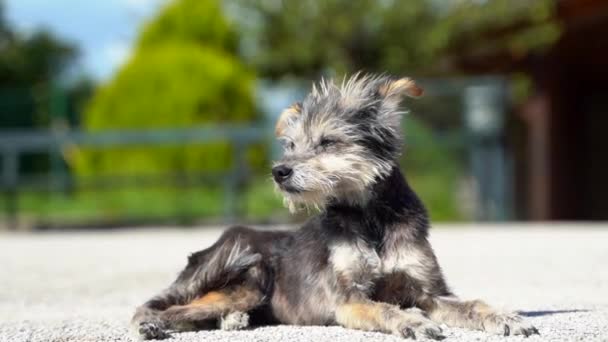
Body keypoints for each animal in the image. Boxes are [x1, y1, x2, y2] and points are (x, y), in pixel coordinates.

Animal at [131, 74, 540, 340]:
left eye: (328, 142)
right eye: (290, 145)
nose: (279, 172)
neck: (371, 217)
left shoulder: (428, 292)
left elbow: (472, 304)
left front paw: (506, 316)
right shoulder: (348, 299)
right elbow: (384, 308)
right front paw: (413, 322)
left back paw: (233, 321)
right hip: (242, 270)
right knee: (165, 307)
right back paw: (151, 324)